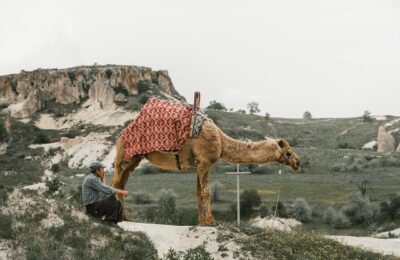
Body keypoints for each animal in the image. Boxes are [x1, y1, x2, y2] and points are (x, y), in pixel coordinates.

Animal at [111, 118, 298, 225]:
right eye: (288, 152)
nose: (298, 162)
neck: (221, 140)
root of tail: (120, 134)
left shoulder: (198, 164)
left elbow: (198, 192)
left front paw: (201, 221)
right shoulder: (205, 162)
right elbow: (207, 192)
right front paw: (211, 221)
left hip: (133, 159)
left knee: (121, 184)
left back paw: (125, 218)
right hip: (123, 155)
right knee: (115, 182)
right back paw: (115, 217)